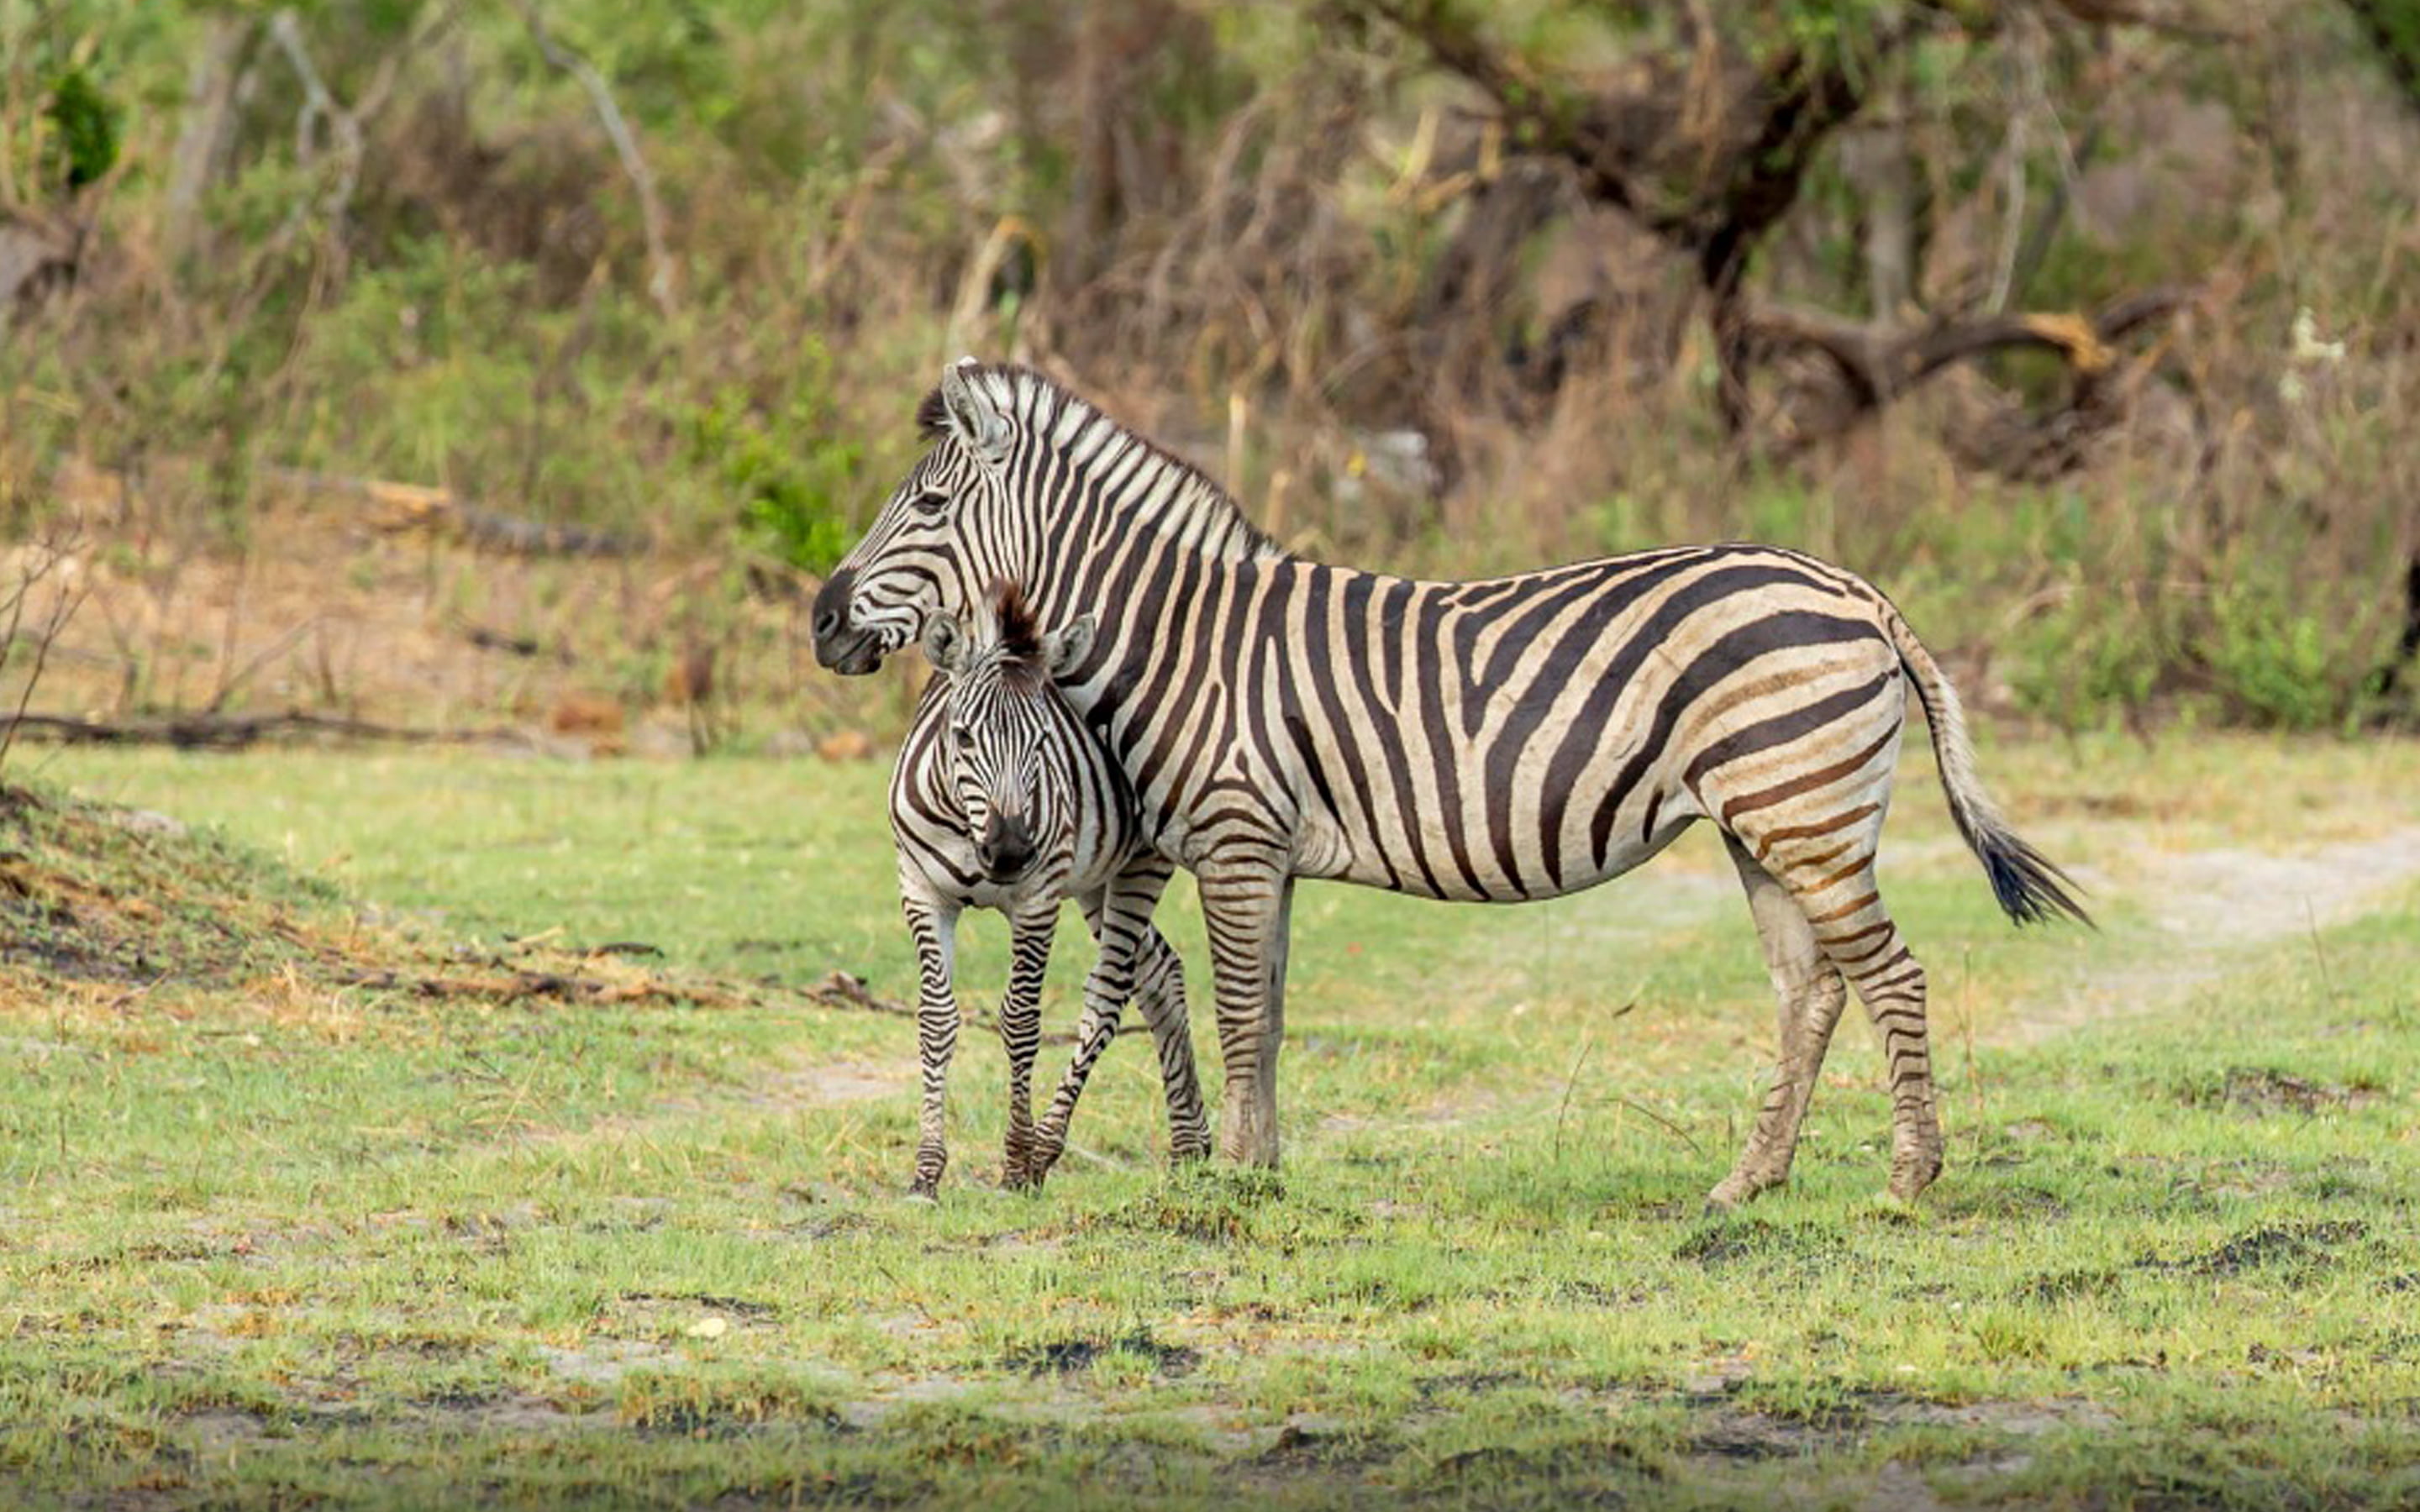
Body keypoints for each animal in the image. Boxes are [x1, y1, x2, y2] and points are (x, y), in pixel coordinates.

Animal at [891, 579, 1212, 1196]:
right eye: (963, 737)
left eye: (1043, 739)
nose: (1011, 852)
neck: (968, 827)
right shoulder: (922, 891)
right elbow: (936, 1018)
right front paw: (926, 1172)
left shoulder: (1037, 900)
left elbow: (1020, 1020)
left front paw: (1016, 1164)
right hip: (1095, 882)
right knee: (1160, 970)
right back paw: (1191, 1144)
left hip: (1139, 866)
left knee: (1111, 991)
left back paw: (1046, 1149)